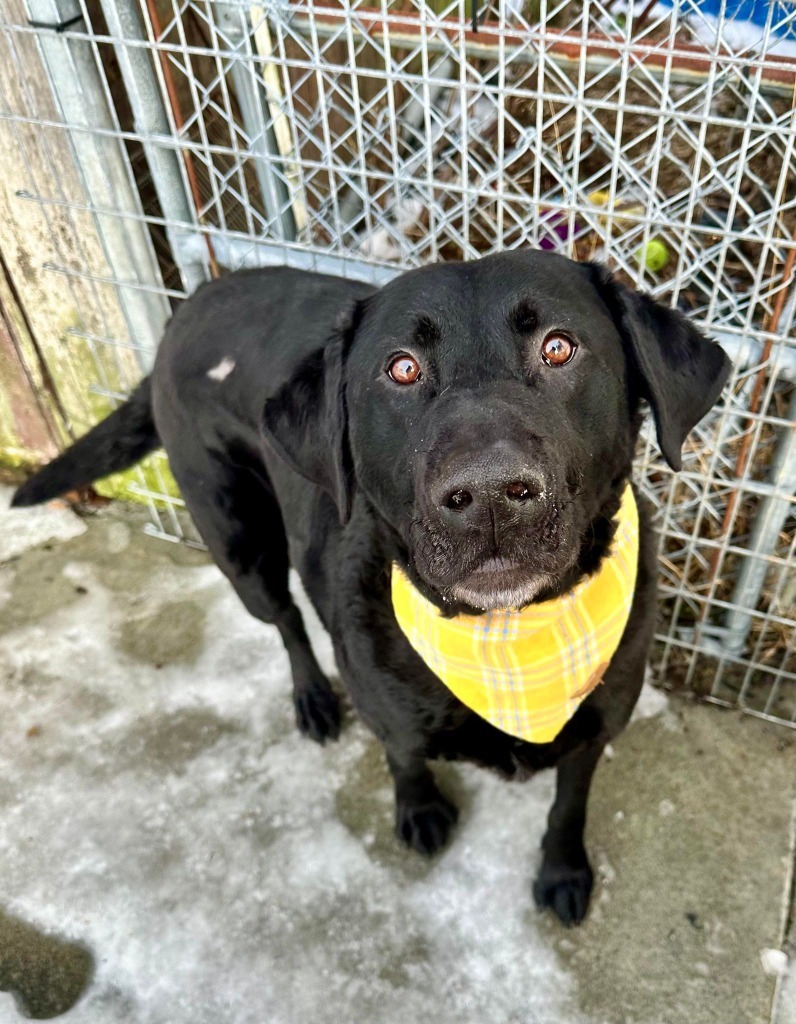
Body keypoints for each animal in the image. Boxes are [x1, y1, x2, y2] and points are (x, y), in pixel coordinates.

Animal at [13, 249, 733, 929]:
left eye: (559, 347)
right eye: (402, 368)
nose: (490, 495)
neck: (504, 636)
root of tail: (192, 302)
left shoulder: (596, 729)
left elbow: (568, 804)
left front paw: (562, 870)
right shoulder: (382, 696)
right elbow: (403, 751)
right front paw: (418, 808)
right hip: (240, 545)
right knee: (286, 620)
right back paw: (312, 699)